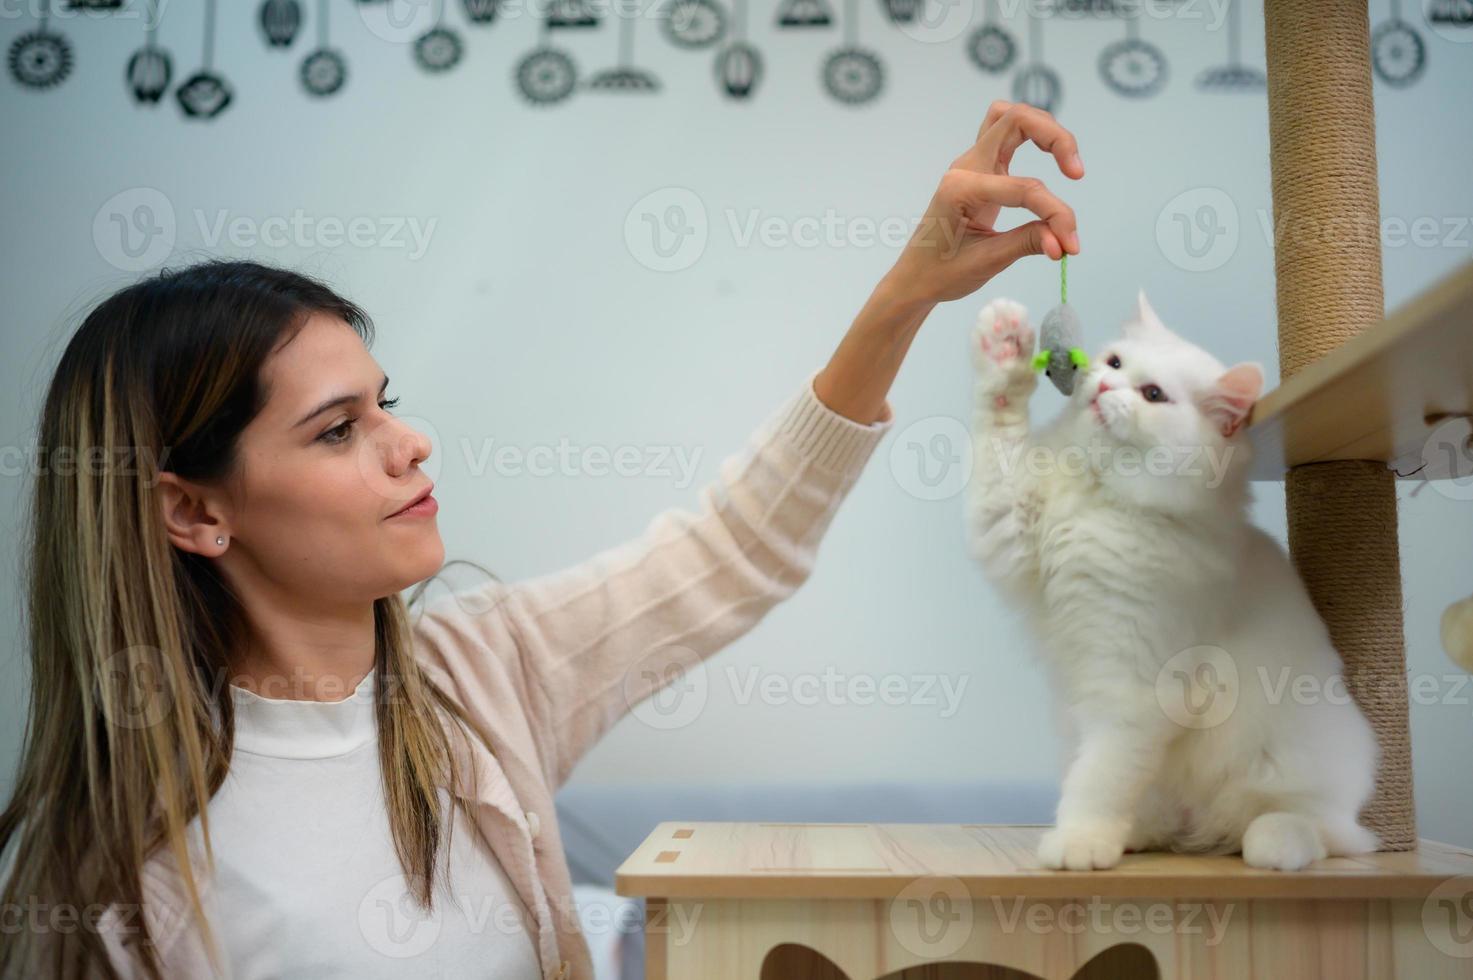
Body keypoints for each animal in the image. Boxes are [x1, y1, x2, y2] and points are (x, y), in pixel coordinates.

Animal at [966, 288, 1378, 872]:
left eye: (1153, 394)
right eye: (1115, 363)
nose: (1105, 386)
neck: (1099, 496)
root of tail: (1200, 832)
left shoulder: (1131, 690)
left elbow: (1096, 781)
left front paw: (1078, 843)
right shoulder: (1007, 525)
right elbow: (999, 422)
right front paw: (1005, 344)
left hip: (1306, 765)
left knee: (1321, 832)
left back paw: (1273, 844)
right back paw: (1137, 835)